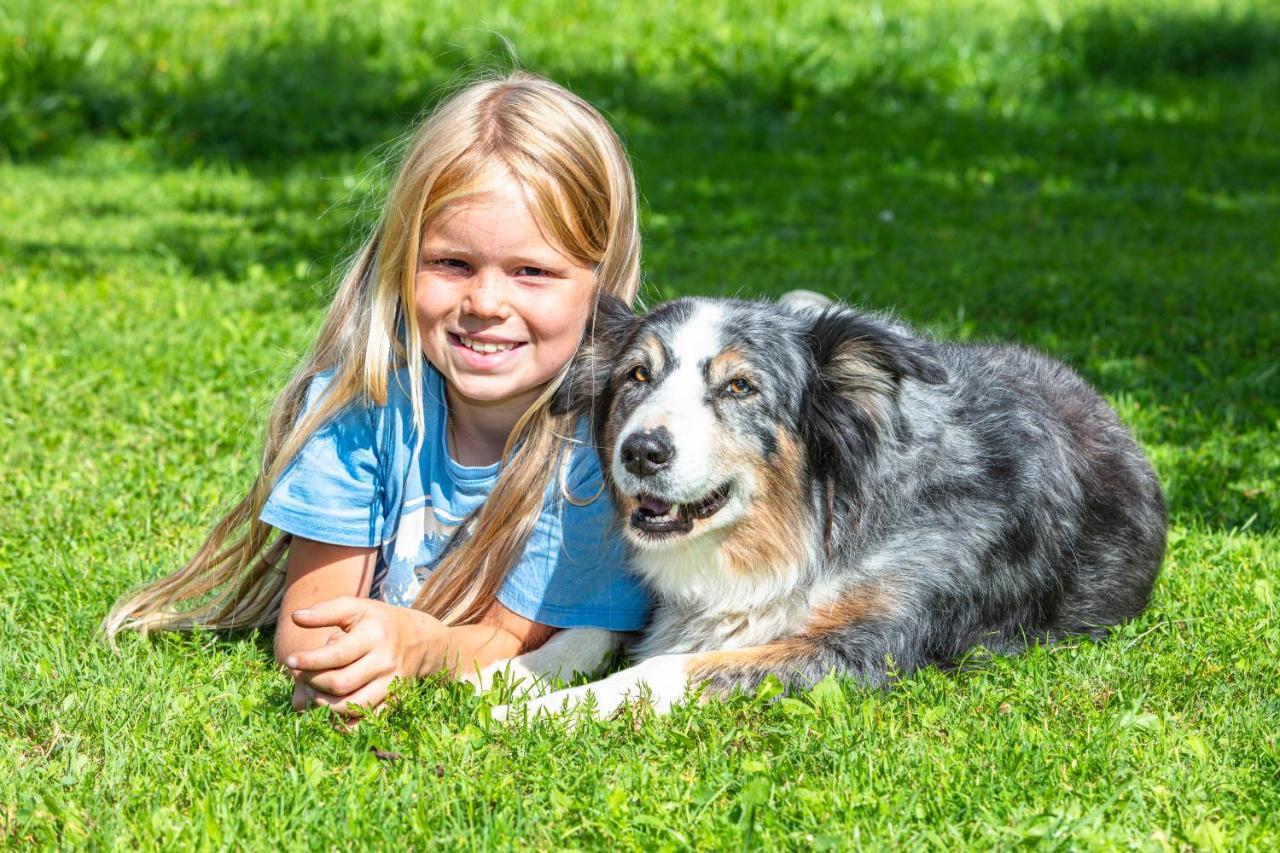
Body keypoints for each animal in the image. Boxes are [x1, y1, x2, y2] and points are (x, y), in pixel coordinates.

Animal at [465, 294, 1167, 717]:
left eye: (740, 386)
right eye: (638, 375)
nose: (641, 451)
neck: (811, 520)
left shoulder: (867, 647)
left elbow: (667, 669)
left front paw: (537, 712)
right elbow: (590, 630)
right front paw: (504, 674)